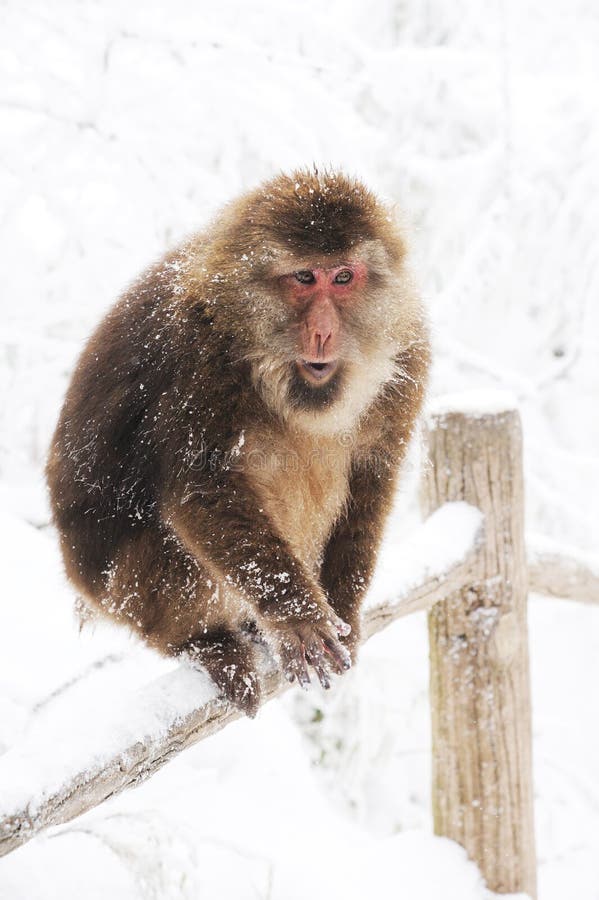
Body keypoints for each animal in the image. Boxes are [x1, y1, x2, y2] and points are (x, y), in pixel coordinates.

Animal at [47, 169, 432, 716]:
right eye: (304, 278)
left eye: (343, 277)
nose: (323, 331)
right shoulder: (196, 354)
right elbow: (203, 487)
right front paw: (296, 615)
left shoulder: (410, 356)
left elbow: (371, 481)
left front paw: (342, 604)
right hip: (124, 591)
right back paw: (204, 643)